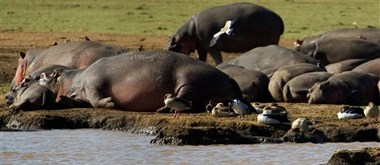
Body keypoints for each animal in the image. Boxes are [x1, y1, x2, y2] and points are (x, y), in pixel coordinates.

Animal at [38, 50, 248, 112]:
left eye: (43, 76)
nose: (31, 80)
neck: (73, 79)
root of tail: (227, 76)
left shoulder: (92, 84)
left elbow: (97, 99)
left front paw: (111, 103)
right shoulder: (81, 93)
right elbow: (82, 101)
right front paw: (66, 100)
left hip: (188, 81)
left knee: (187, 101)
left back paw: (162, 109)